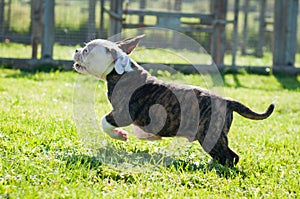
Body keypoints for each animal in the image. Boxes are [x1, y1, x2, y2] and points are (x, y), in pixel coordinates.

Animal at [72, 34, 274, 166]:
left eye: (87, 50)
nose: (76, 50)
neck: (119, 71)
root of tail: (227, 100)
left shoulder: (122, 113)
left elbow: (104, 122)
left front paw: (119, 135)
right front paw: (150, 136)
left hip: (210, 135)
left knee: (230, 157)